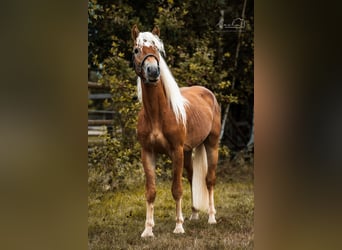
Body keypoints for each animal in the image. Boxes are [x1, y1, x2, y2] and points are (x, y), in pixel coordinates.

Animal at [131, 24, 222, 237]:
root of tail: (208, 93)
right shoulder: (148, 153)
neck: (157, 114)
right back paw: (195, 214)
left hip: (211, 145)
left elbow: (176, 189)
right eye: (137, 50)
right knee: (192, 177)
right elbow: (151, 191)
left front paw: (179, 227)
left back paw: (211, 217)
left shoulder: (176, 151)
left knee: (209, 180)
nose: (153, 71)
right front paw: (148, 230)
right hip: (188, 152)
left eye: (157, 49)